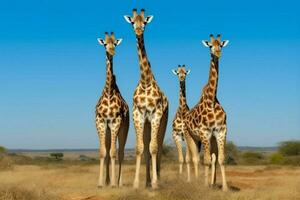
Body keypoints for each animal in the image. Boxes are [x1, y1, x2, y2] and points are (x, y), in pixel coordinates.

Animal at [183, 34, 230, 191]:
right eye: (210, 45)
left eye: (220, 44)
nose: (218, 53)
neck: (212, 100)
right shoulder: (205, 132)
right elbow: (207, 161)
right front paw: (205, 186)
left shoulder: (220, 131)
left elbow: (221, 159)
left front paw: (224, 188)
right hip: (190, 136)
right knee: (195, 159)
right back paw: (197, 182)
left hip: (206, 139)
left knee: (211, 158)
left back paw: (212, 182)